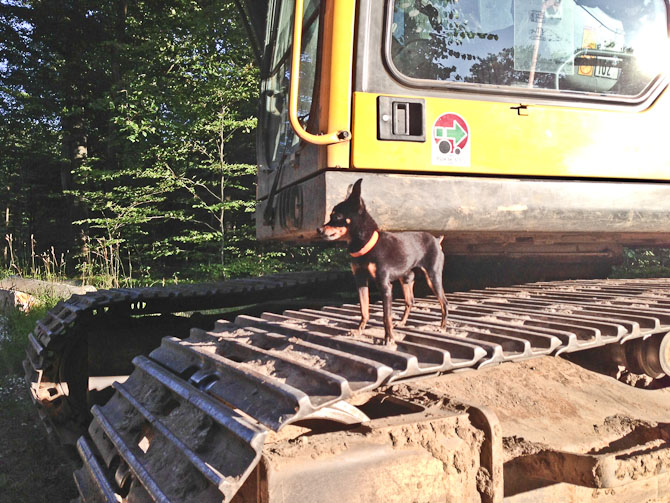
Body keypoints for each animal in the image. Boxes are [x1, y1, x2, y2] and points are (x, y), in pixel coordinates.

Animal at [318, 179, 448, 348]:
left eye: (337, 216)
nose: (319, 230)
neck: (366, 245)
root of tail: (436, 240)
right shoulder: (360, 280)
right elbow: (364, 310)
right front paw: (359, 331)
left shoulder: (385, 286)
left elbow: (386, 316)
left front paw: (388, 338)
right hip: (406, 278)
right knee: (410, 301)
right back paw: (402, 323)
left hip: (432, 277)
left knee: (443, 302)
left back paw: (442, 327)